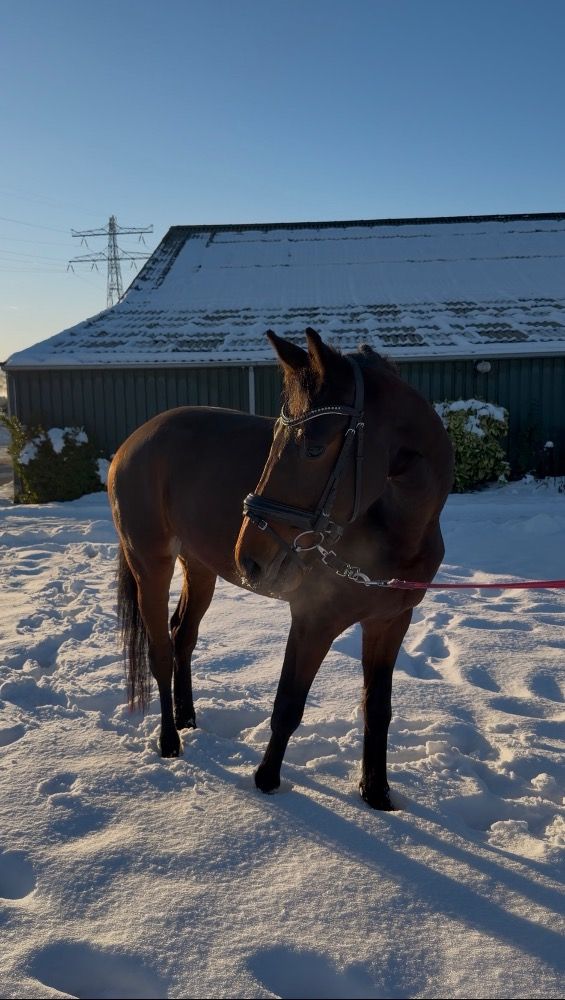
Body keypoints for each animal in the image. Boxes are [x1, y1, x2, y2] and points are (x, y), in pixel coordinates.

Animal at [108, 328, 454, 810]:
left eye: (313, 447)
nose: (251, 558)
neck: (395, 526)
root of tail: (132, 442)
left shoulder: (390, 622)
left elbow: (377, 709)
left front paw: (377, 793)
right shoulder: (313, 619)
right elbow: (288, 704)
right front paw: (267, 780)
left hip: (199, 567)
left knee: (182, 636)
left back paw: (187, 717)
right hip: (151, 564)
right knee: (159, 650)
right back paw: (169, 741)